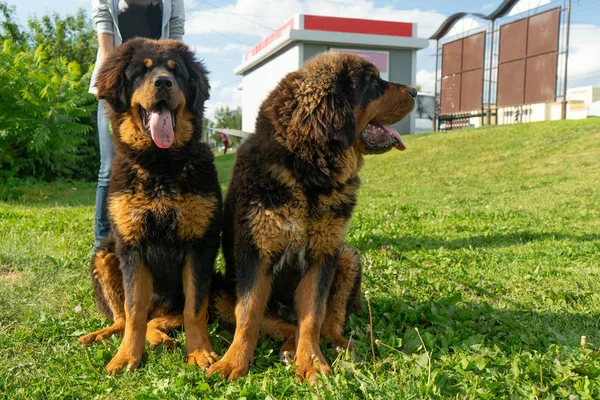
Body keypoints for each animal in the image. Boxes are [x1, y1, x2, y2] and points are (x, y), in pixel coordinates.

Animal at [78, 38, 221, 376]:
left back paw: (161, 339)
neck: (160, 167)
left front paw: (199, 351)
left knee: (163, 318)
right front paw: (127, 356)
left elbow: (194, 310)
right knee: (124, 318)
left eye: (175, 71)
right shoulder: (131, 246)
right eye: (141, 72)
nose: (163, 82)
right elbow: (133, 311)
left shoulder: (200, 246)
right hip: (105, 253)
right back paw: (100, 335)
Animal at [209, 51, 414, 382]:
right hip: (220, 292)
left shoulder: (323, 254)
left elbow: (313, 317)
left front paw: (312, 362)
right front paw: (234, 362)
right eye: (372, 82)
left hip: (347, 258)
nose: (416, 91)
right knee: (277, 323)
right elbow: (248, 314)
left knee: (329, 322)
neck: (308, 173)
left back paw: (338, 346)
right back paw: (287, 349)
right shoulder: (255, 253)